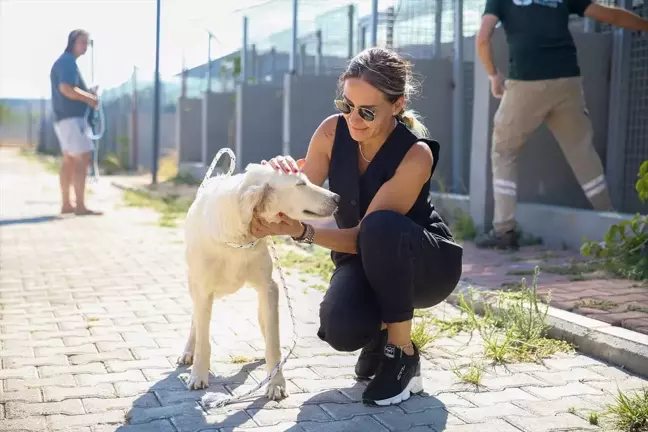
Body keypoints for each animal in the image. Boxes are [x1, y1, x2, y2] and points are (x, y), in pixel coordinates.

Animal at [177, 164, 340, 400]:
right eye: (300, 184)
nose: (337, 198)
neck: (238, 237)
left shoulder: (269, 287)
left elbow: (273, 343)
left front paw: (276, 382)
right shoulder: (204, 291)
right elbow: (203, 340)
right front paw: (198, 374)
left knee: (264, 323)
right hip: (194, 285)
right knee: (195, 321)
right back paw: (188, 351)